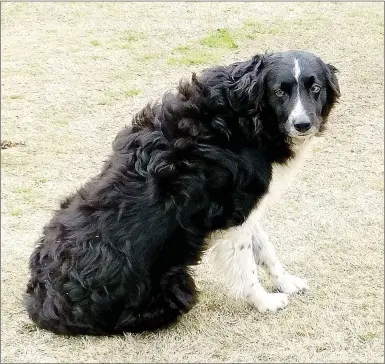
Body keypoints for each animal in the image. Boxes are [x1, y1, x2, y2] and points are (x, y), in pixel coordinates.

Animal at [24, 49, 340, 334]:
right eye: (279, 93)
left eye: (315, 88)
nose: (303, 124)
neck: (242, 113)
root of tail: (40, 301)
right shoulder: (232, 214)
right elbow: (246, 265)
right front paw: (265, 302)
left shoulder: (245, 208)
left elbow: (266, 250)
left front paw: (286, 282)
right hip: (176, 287)